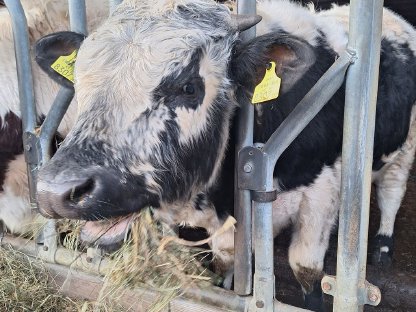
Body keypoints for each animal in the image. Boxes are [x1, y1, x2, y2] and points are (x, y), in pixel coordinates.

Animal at [34, 1, 416, 310]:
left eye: (188, 87)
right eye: (78, 83)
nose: (56, 191)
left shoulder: (322, 194)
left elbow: (306, 269)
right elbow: (223, 262)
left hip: (404, 151)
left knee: (392, 192)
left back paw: (383, 247)